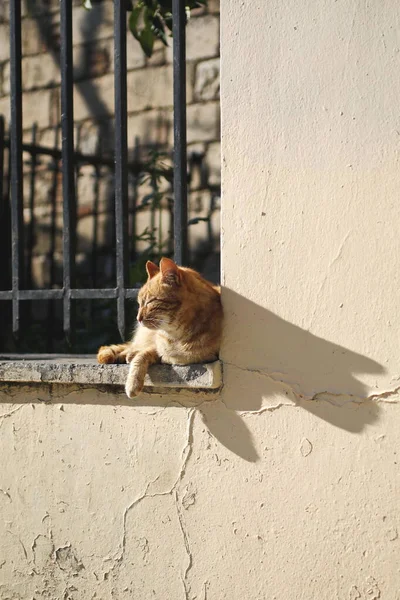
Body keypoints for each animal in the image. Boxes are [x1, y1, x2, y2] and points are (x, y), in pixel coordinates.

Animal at [96, 256, 222, 398]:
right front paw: (133, 383)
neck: (176, 337)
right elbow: (142, 355)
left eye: (150, 302)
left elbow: (144, 355)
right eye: (139, 304)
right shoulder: (158, 349)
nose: (138, 318)